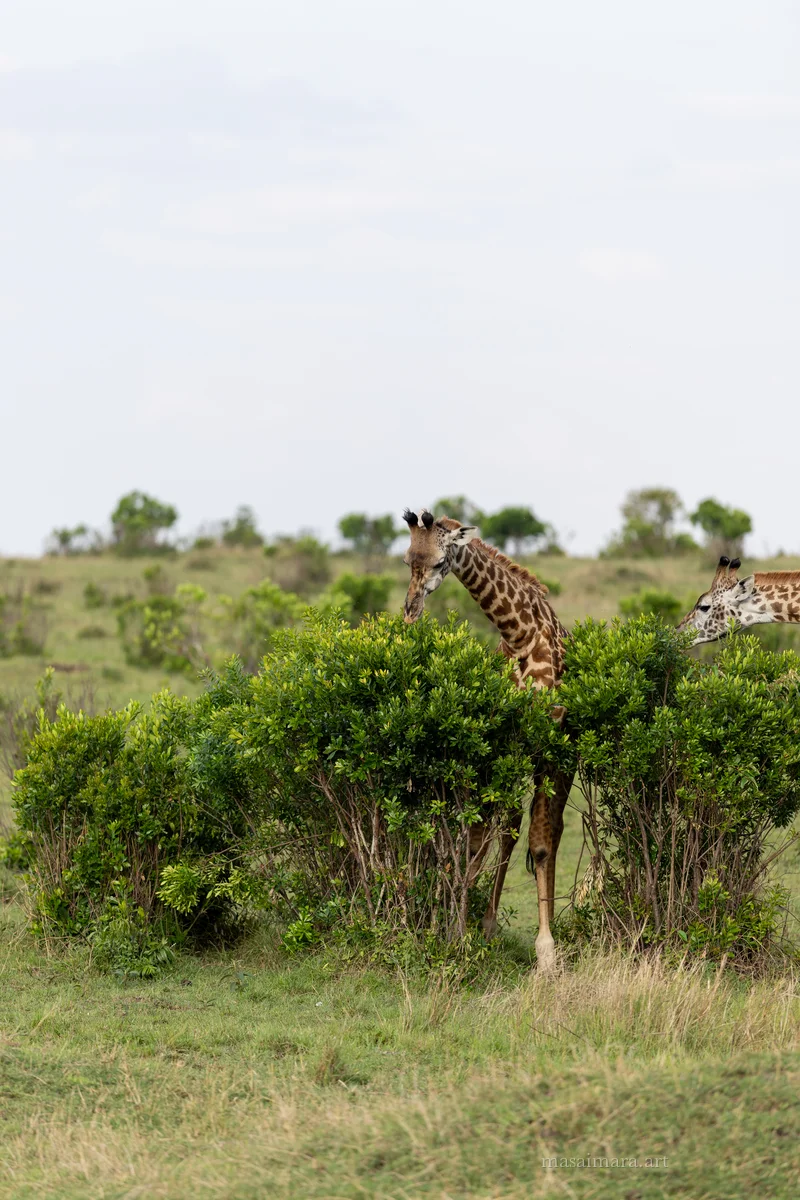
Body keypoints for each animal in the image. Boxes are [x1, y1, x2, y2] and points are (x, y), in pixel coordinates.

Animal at [402, 507, 572, 970]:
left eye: (438, 562)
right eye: (407, 560)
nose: (410, 610)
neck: (520, 633)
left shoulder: (550, 745)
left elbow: (541, 845)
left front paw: (546, 952)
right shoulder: (500, 743)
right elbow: (479, 836)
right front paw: (461, 930)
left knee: (545, 831)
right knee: (507, 826)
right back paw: (488, 923)